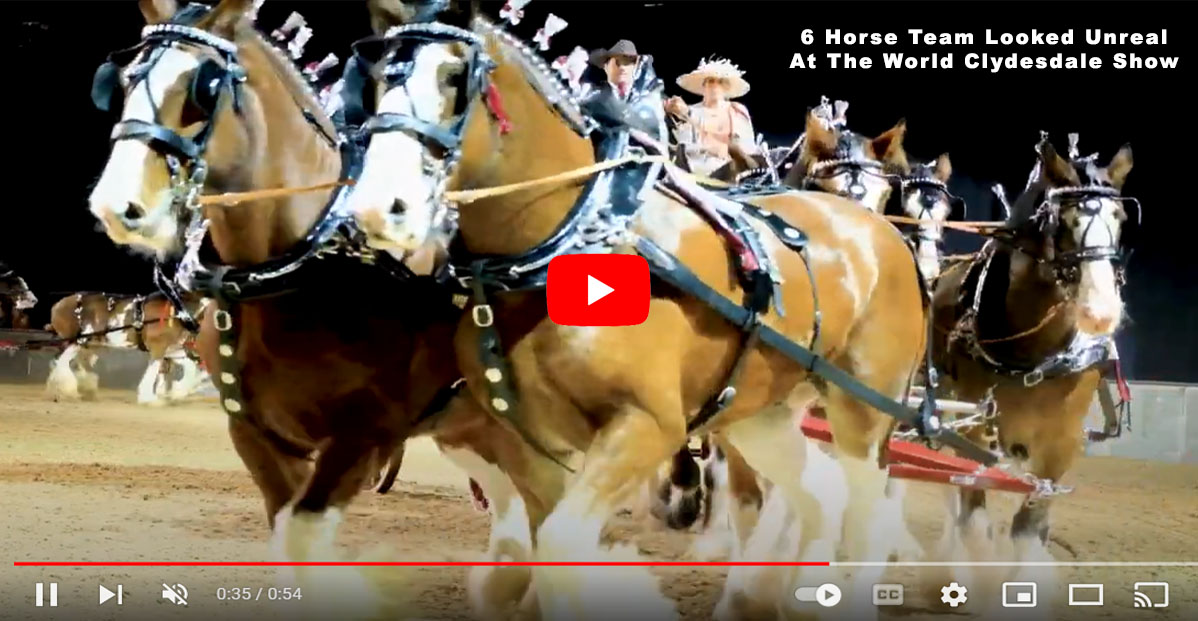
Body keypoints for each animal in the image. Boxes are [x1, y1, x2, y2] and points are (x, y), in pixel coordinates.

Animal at [44, 291, 207, 405]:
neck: (176, 314)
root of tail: (58, 305)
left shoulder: (172, 350)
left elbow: (190, 369)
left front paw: (176, 393)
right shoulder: (158, 348)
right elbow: (152, 372)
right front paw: (148, 398)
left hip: (87, 344)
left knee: (67, 362)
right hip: (78, 341)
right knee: (62, 361)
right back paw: (68, 390)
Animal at [82, 1, 531, 618]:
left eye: (204, 87)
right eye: (126, 80)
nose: (116, 205)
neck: (302, 270)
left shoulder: (363, 437)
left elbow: (303, 536)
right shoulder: (259, 436)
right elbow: (286, 538)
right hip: (474, 426)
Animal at [347, 3, 924, 618]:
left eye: (456, 76)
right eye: (378, 79)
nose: (380, 209)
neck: (565, 246)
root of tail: (883, 233)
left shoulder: (647, 425)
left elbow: (561, 550)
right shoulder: (530, 444)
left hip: (865, 407)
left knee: (868, 513)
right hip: (759, 411)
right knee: (820, 493)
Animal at [929, 133, 1135, 613]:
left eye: (1119, 218)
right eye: (1063, 222)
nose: (1101, 313)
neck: (1032, 353)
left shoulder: (1061, 443)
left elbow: (1029, 529)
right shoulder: (973, 429)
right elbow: (973, 519)